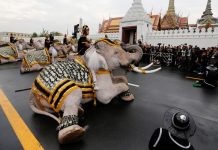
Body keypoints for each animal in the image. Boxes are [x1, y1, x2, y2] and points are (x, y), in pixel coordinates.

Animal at [29, 38, 161, 144]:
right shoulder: (98, 74)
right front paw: (126, 96)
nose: (124, 43)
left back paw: (80, 110)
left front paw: (126, 95)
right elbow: (105, 96)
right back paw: (73, 134)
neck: (93, 50)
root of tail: (32, 95)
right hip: (58, 87)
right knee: (74, 94)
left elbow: (122, 79)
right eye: (116, 53)